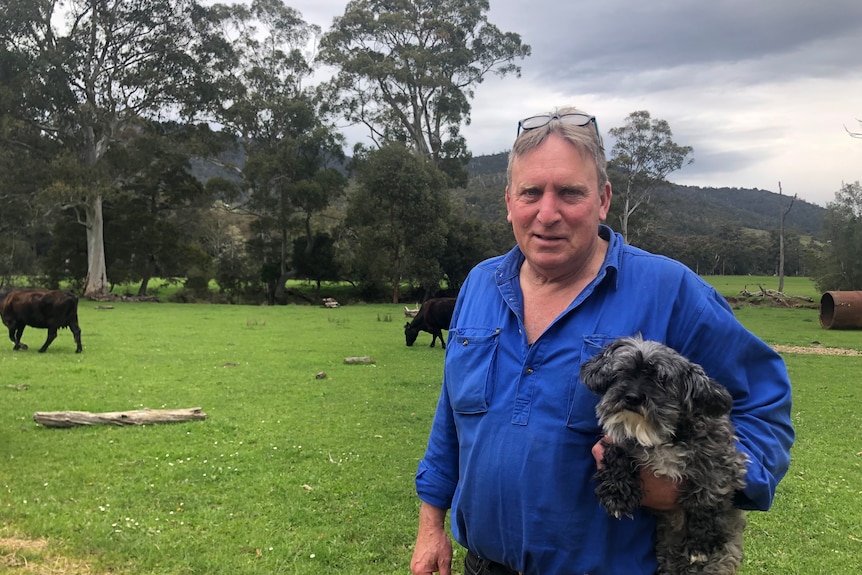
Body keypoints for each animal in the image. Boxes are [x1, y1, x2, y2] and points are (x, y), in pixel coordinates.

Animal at [584, 338, 752, 575]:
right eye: (622, 372)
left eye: (661, 380)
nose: (632, 398)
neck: (663, 436)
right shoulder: (618, 440)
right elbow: (617, 455)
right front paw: (617, 495)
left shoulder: (724, 465)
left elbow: (706, 498)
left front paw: (699, 544)